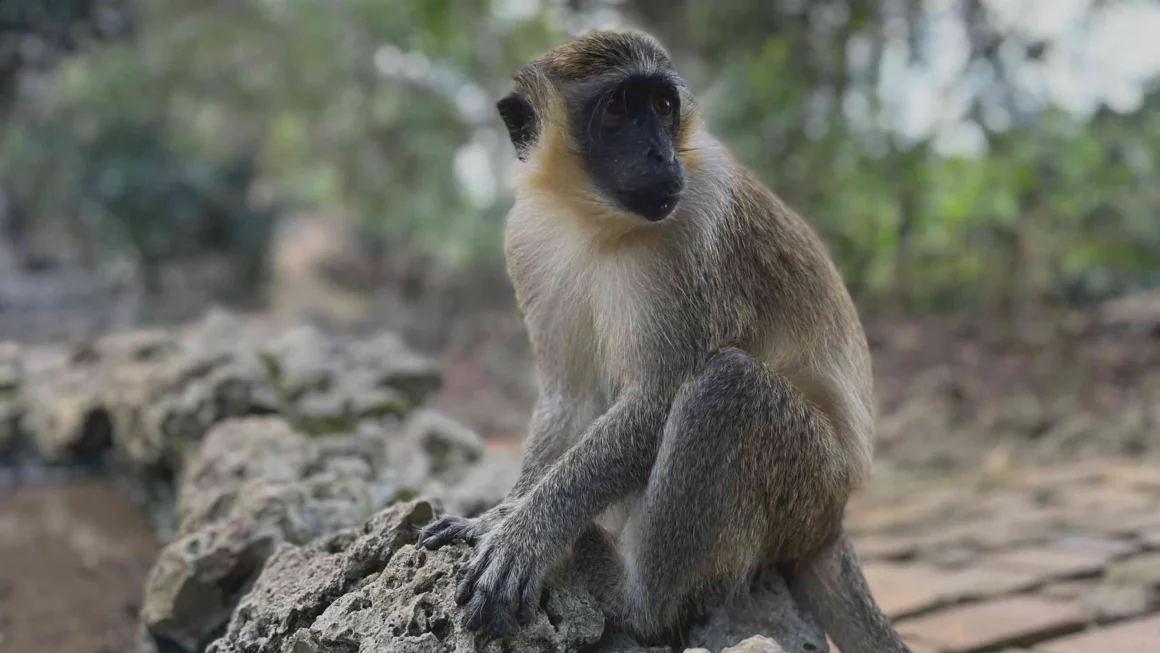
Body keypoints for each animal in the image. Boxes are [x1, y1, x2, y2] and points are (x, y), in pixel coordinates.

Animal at [419, 26, 914, 653]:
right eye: (616, 109)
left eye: (661, 105)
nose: (662, 155)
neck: (595, 219)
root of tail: (836, 521)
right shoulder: (527, 236)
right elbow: (570, 395)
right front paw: (501, 513)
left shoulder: (693, 221)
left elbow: (660, 393)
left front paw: (525, 531)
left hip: (808, 486)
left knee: (726, 386)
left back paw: (634, 597)